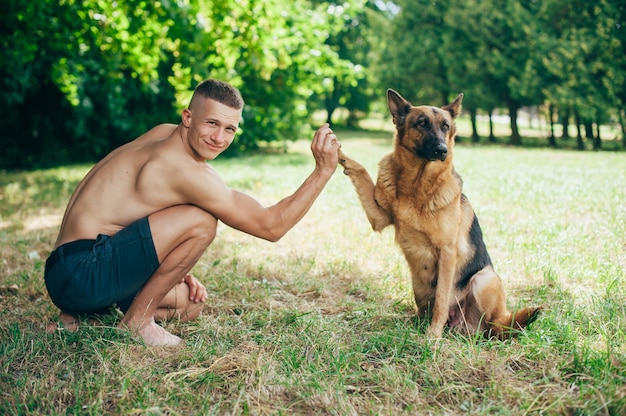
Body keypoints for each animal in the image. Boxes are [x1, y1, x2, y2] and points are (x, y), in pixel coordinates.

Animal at [338, 90, 540, 338]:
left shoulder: (447, 252)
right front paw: (337, 152)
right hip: (419, 287)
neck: (416, 187)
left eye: (445, 126)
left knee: (496, 326)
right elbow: (360, 170)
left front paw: (432, 337)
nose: (442, 150)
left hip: (485, 279)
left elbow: (442, 300)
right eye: (421, 123)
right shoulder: (379, 217)